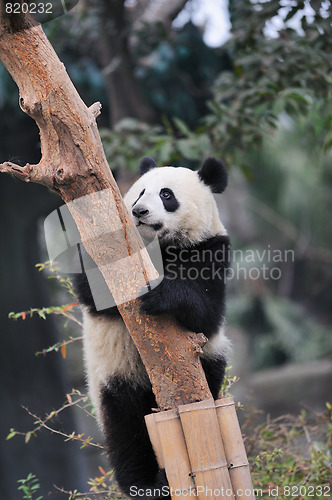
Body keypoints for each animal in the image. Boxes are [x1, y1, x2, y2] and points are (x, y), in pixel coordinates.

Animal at [74, 155, 232, 496]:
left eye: (166, 195)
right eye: (139, 192)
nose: (139, 212)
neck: (157, 247)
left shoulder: (212, 248)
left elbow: (206, 313)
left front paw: (159, 293)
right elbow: (92, 291)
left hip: (209, 363)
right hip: (115, 375)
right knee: (127, 425)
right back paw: (147, 482)